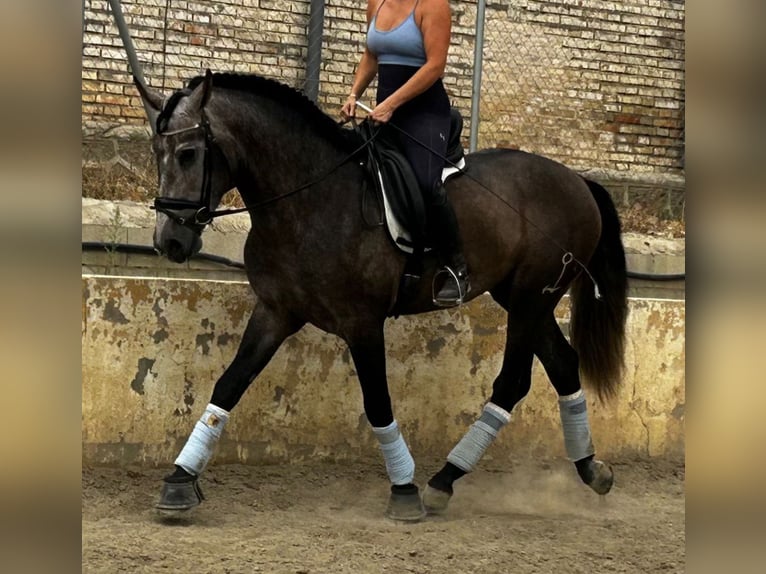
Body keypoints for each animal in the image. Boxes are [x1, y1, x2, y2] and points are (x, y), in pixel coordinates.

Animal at [136, 70, 632, 524]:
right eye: (157, 153)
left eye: (188, 153)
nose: (169, 242)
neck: (309, 200)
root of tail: (578, 180)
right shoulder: (276, 311)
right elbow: (229, 385)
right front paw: (179, 481)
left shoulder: (362, 323)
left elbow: (377, 402)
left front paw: (404, 490)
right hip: (523, 298)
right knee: (563, 364)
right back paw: (590, 469)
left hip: (531, 297)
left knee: (513, 381)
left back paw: (443, 480)